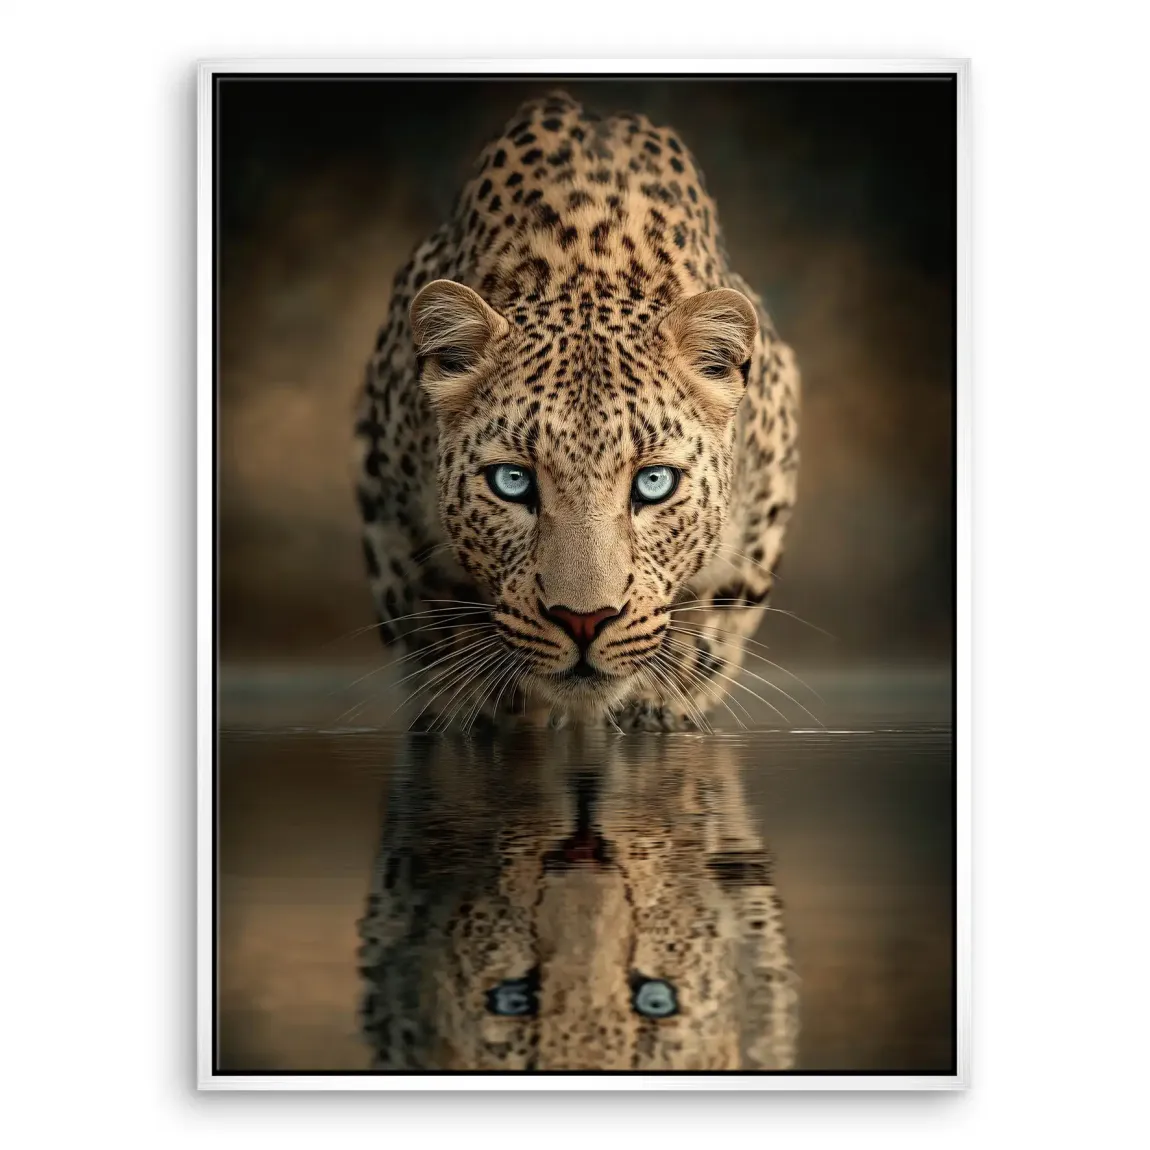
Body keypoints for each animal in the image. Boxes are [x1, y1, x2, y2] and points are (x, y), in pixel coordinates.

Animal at [354, 89, 800, 731]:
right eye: (512, 482)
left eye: (655, 483)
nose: (583, 620)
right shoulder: (388, 510)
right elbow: (433, 629)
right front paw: (480, 709)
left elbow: (711, 627)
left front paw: (657, 704)